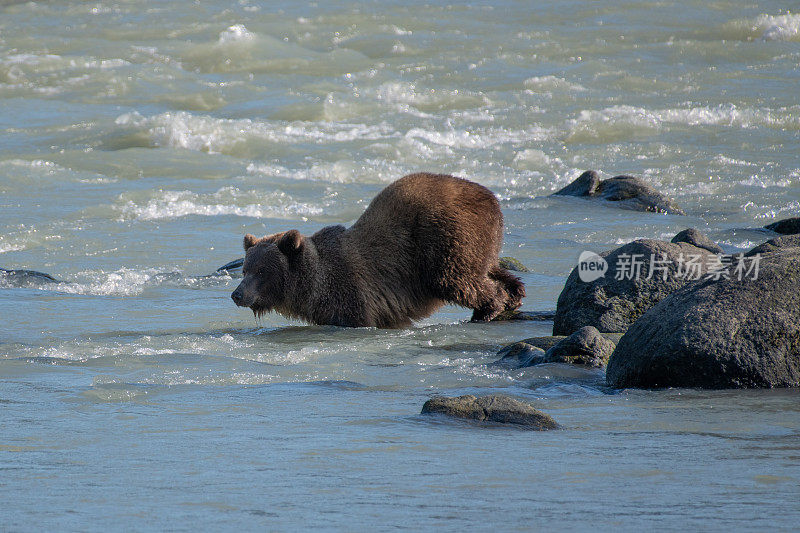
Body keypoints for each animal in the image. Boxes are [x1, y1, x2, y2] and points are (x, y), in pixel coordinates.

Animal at [230, 172, 524, 326]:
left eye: (261, 271)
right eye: (244, 270)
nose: (237, 294)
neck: (313, 285)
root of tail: (491, 197)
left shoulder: (353, 296)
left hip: (446, 234)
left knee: (454, 278)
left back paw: (488, 309)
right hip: (482, 240)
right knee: (489, 268)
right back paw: (513, 294)